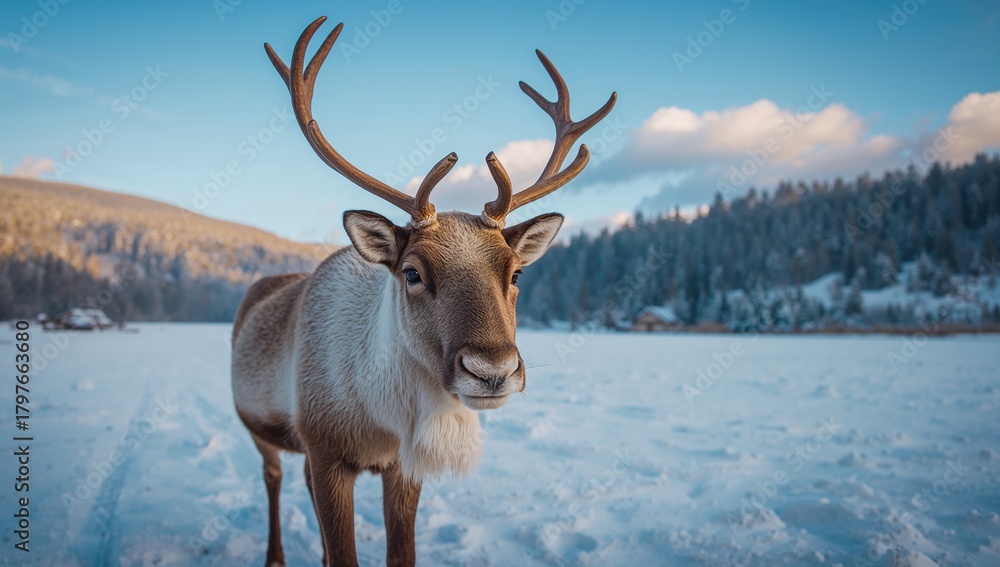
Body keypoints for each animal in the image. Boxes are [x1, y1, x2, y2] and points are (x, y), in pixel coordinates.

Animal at [230, 16, 616, 567]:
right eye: (411, 272)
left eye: (517, 273)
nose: (493, 371)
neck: (379, 415)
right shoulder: (326, 452)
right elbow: (342, 549)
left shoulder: (401, 465)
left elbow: (400, 553)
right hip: (261, 430)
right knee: (274, 477)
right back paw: (275, 555)